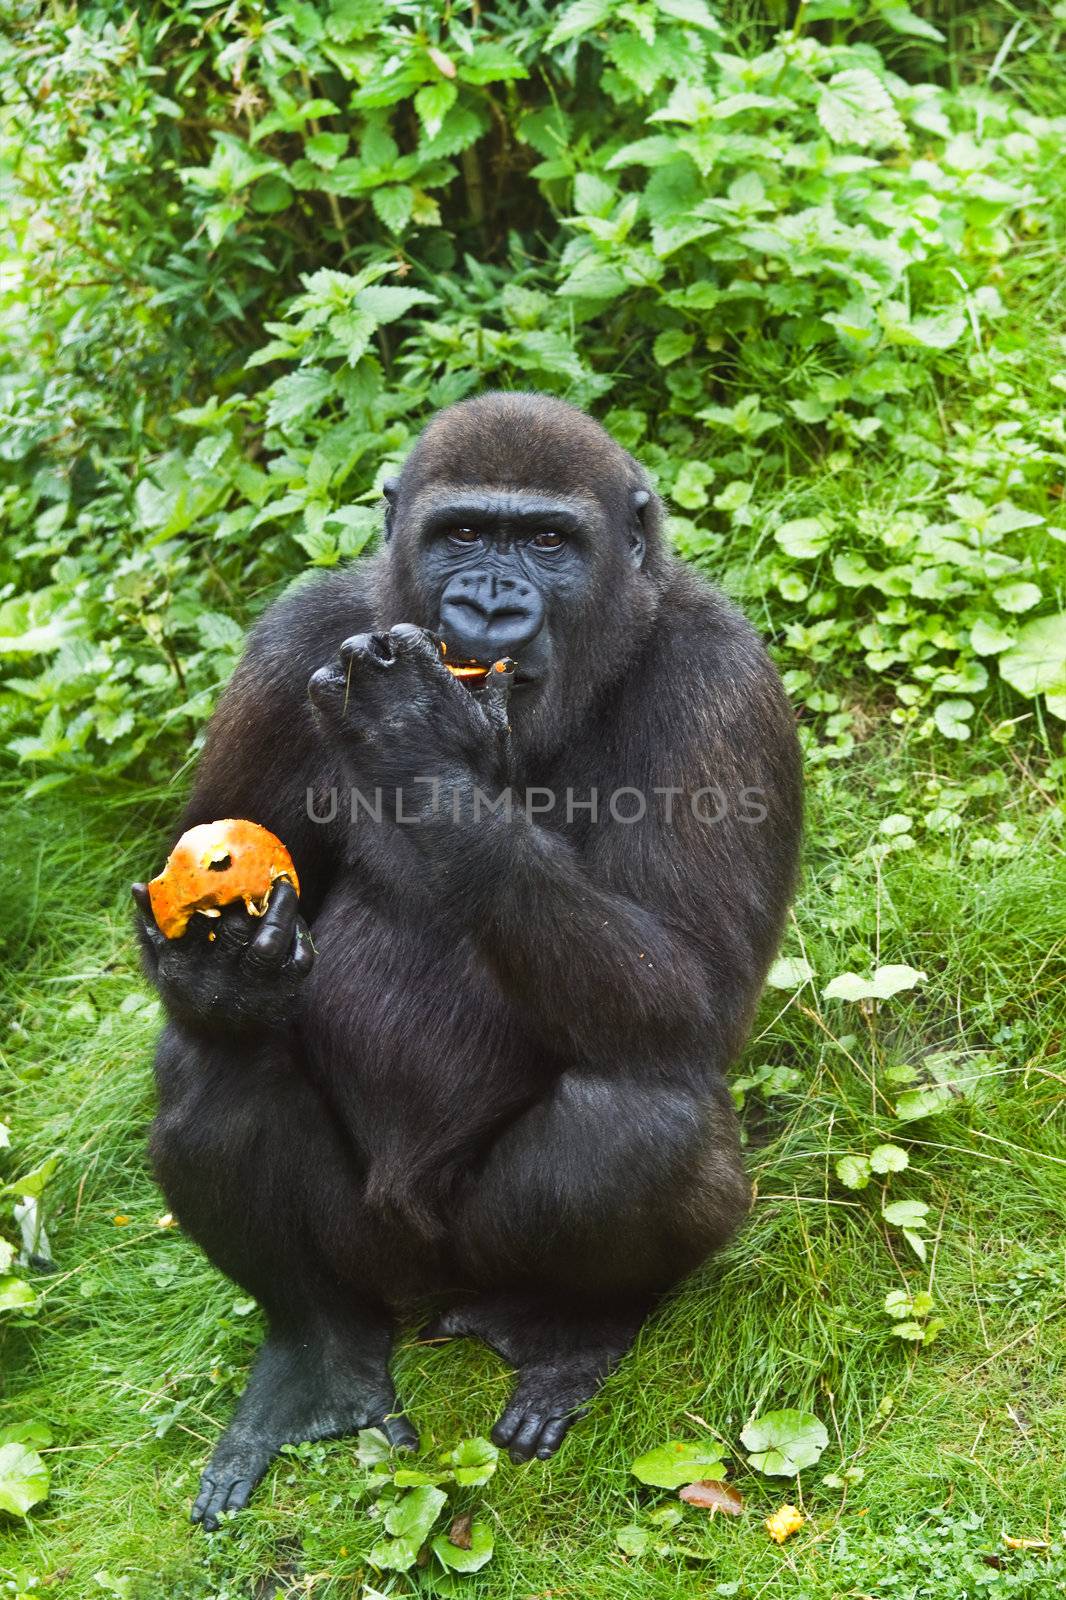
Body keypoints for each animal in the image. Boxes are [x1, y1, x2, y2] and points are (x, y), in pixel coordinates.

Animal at [130, 387, 797, 1523]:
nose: (487, 608)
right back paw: (315, 1348)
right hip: (373, 1261)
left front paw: (418, 738)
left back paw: (573, 1330)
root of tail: (435, 1291)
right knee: (208, 1064)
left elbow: (692, 993)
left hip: (483, 1257)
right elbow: (207, 902)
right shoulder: (287, 647)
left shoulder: (723, 683)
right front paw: (216, 973)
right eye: (463, 535)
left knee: (641, 1114)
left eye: (546, 541)